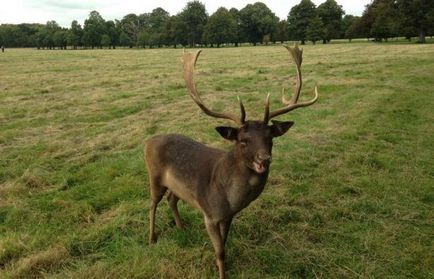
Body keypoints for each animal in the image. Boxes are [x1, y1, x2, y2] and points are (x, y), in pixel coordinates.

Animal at [144, 44, 318, 279]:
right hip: (153, 176)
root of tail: (148, 141)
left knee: (172, 199)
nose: (265, 158)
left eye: (270, 138)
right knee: (152, 204)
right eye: (243, 140)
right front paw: (221, 272)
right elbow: (220, 251)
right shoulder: (209, 214)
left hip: (177, 186)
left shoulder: (228, 216)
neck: (229, 198)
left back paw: (181, 227)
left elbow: (225, 243)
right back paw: (152, 238)